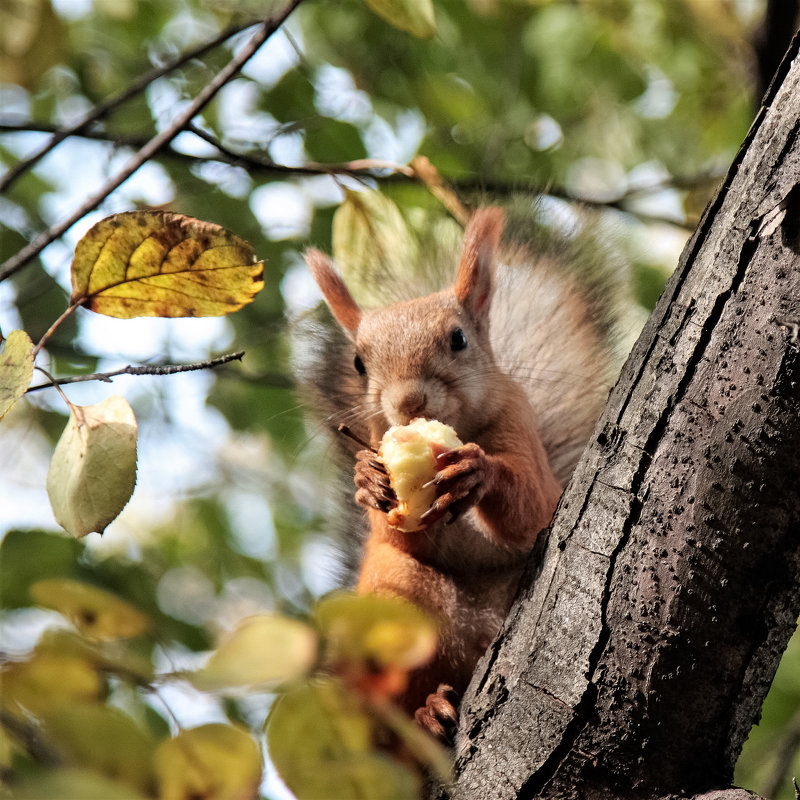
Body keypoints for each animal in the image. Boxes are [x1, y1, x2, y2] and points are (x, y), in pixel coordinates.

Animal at [296, 203, 616, 740]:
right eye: (359, 363)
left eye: (458, 338)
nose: (408, 402)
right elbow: (398, 531)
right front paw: (368, 479)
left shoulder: (520, 427)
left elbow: (532, 506)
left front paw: (477, 472)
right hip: (395, 601)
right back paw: (425, 713)